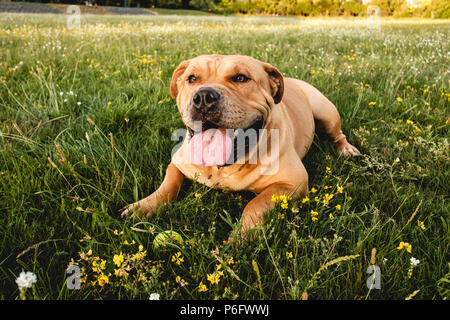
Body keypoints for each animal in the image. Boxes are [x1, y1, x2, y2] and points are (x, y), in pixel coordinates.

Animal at [119, 55, 358, 239]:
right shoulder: (177, 163)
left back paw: (347, 149)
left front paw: (241, 237)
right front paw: (144, 207)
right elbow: (168, 184)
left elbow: (256, 204)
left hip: (326, 112)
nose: (203, 96)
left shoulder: (293, 182)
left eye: (241, 78)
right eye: (192, 78)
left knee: (338, 134)